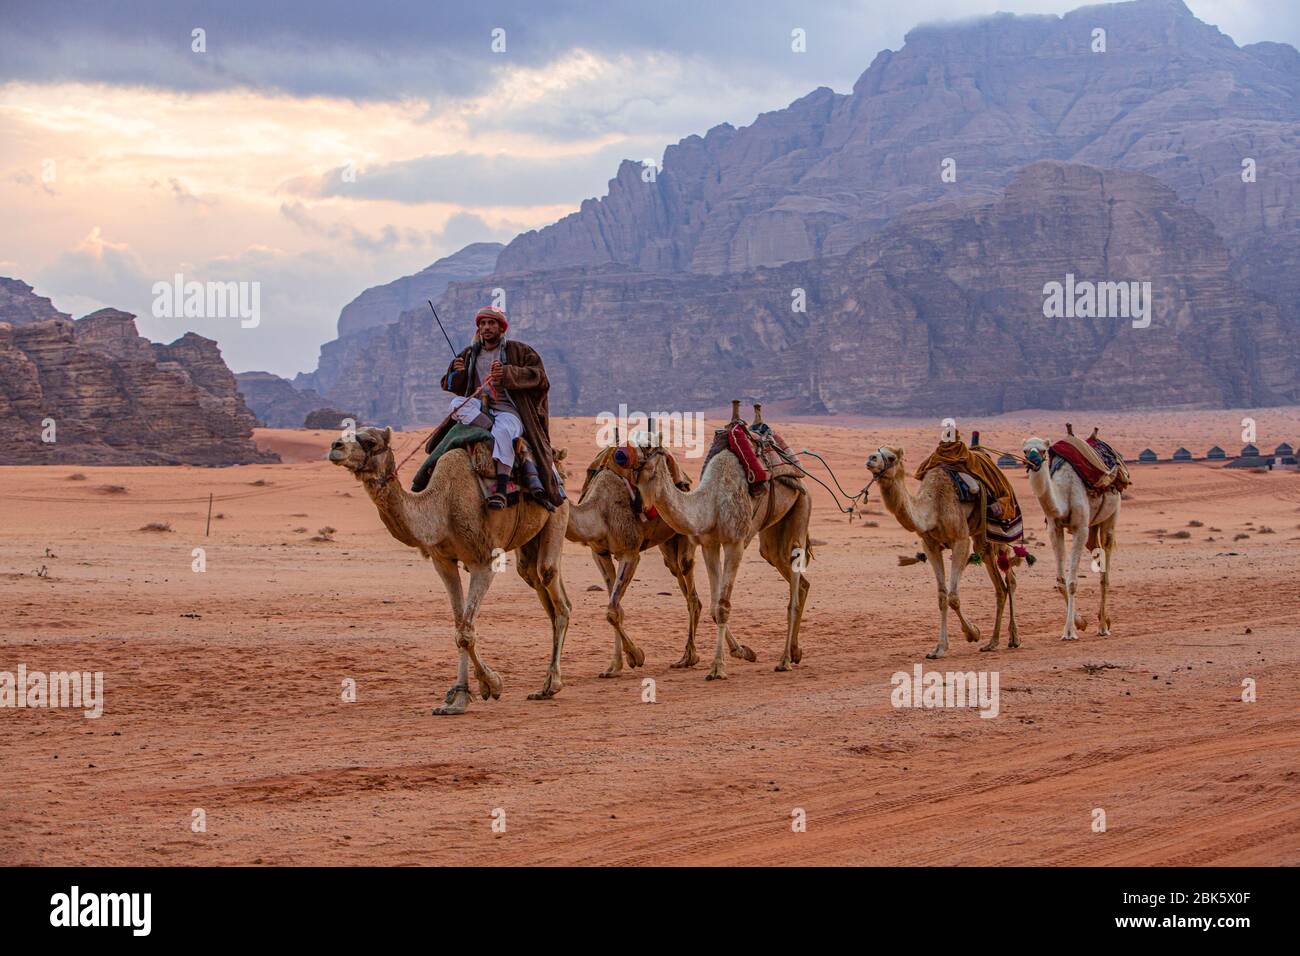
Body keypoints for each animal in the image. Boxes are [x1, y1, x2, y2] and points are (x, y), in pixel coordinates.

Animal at [325, 424, 569, 712]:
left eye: (371, 441)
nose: (336, 446)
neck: (442, 506)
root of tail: (557, 460)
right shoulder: (443, 562)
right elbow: (458, 625)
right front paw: (458, 699)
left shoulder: (483, 561)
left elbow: (466, 631)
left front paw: (492, 684)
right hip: (528, 544)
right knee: (536, 581)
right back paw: (546, 685)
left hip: (558, 512)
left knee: (553, 586)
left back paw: (551, 685)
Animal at [561, 452, 696, 676]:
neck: (599, 511)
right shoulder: (599, 553)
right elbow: (616, 609)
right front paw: (614, 667)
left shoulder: (630, 553)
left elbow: (612, 611)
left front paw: (637, 656)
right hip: (668, 545)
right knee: (679, 575)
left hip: (684, 531)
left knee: (691, 586)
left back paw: (691, 657)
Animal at [631, 403, 811, 681]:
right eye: (632, 472)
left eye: (649, 471)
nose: (639, 506)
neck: (710, 503)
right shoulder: (709, 544)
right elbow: (715, 608)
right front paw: (741, 653)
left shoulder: (734, 542)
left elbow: (724, 606)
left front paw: (718, 668)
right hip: (772, 536)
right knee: (796, 578)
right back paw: (795, 652)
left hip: (801, 505)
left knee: (793, 581)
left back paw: (784, 660)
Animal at [868, 447, 1019, 658]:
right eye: (876, 452)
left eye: (891, 457)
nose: (871, 459)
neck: (933, 508)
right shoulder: (930, 544)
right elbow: (942, 596)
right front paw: (939, 648)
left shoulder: (960, 540)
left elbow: (953, 598)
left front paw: (973, 633)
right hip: (981, 539)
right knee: (1000, 586)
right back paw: (992, 642)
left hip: (999, 533)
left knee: (1010, 580)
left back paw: (1013, 638)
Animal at [1019, 434, 1123, 642]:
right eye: (1025, 451)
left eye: (1043, 450)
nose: (1034, 461)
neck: (1063, 496)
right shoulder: (1054, 529)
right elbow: (1060, 581)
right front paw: (1080, 623)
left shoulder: (1080, 529)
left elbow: (1072, 582)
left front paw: (1069, 632)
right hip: (1093, 527)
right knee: (1097, 556)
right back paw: (1104, 620)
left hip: (1111, 515)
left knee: (1105, 569)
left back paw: (1103, 627)